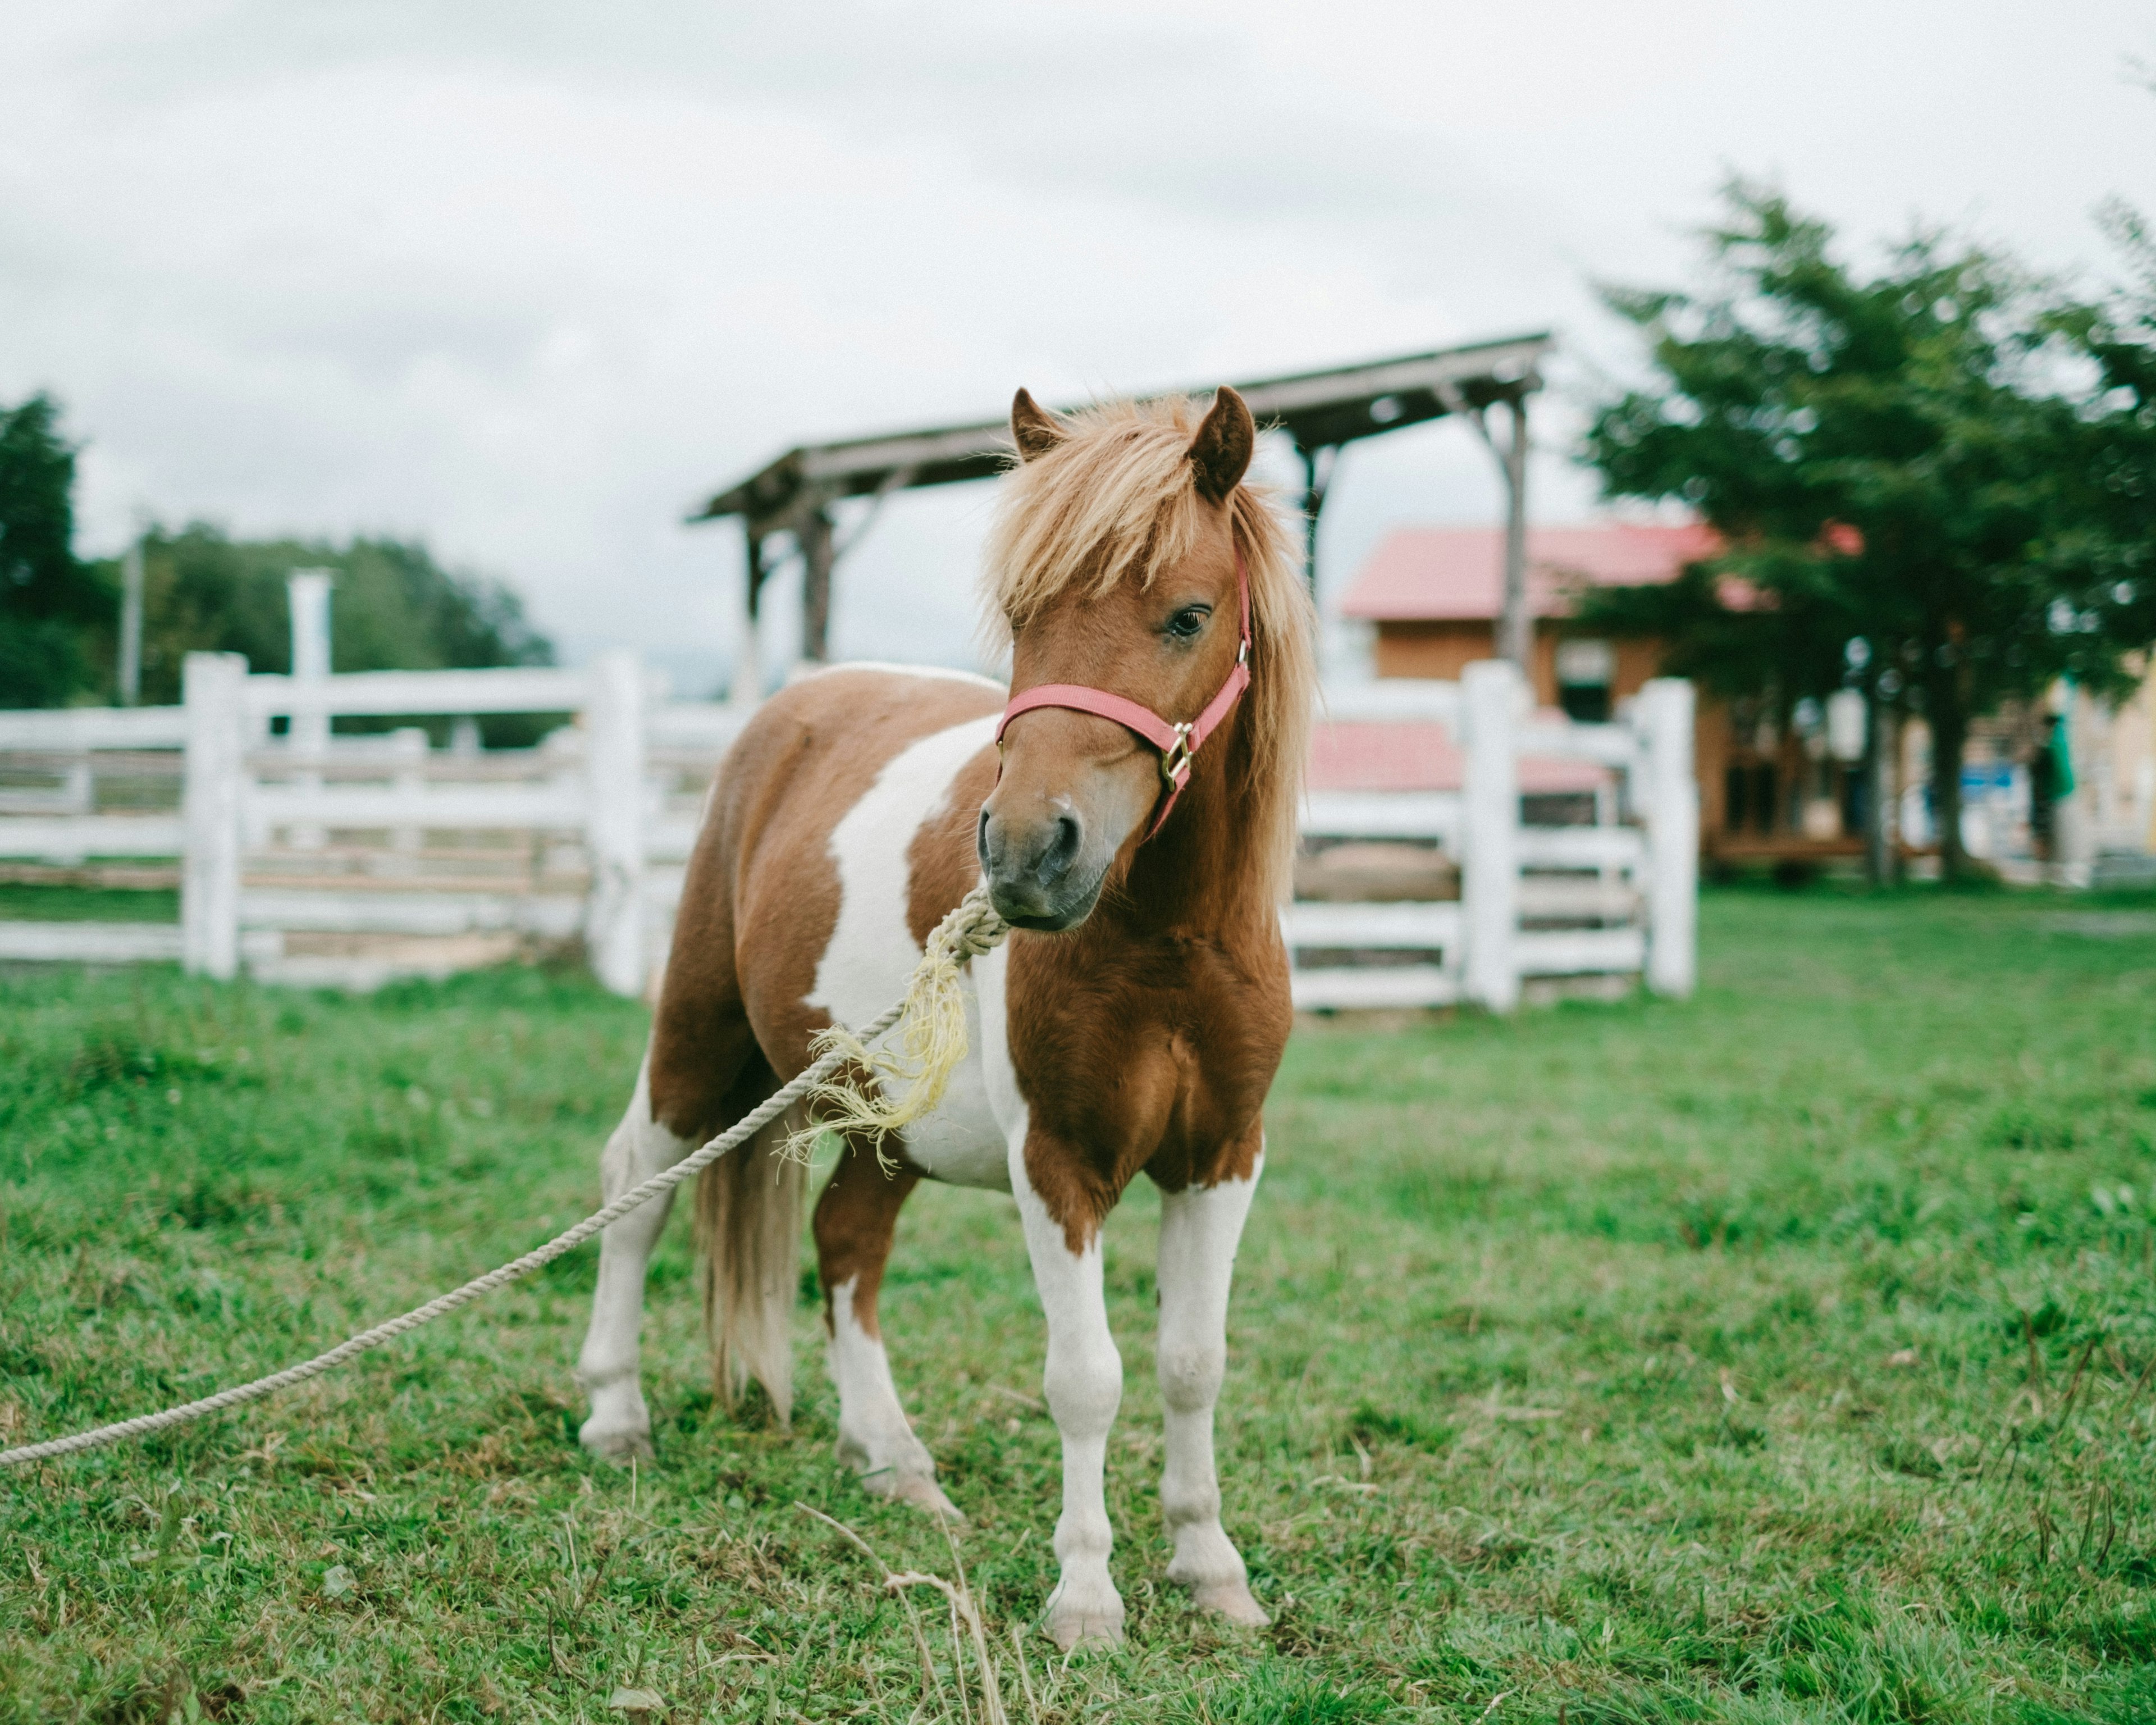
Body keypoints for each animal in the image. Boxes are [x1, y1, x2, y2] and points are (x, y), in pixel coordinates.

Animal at [573, 384, 1310, 1647]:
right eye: (1022, 614)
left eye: (1189, 615)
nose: (1023, 853)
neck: (1167, 944)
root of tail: (800, 703)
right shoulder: (1057, 1165)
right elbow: (1087, 1377)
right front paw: (1085, 1596)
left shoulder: (1223, 1155)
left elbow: (1191, 1362)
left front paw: (1211, 1569)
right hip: (700, 1038)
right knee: (639, 1189)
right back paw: (616, 1416)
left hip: (888, 1126)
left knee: (845, 1244)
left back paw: (894, 1461)